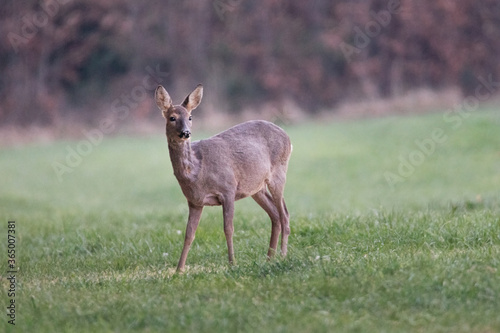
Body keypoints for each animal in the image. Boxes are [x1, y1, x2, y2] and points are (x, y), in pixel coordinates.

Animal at [154, 83, 292, 272]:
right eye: (172, 118)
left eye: (190, 117)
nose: (186, 133)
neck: (197, 172)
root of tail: (288, 137)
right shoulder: (195, 201)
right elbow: (189, 234)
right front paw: (179, 270)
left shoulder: (228, 189)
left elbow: (228, 228)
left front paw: (232, 263)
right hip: (256, 187)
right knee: (275, 215)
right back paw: (269, 258)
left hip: (278, 172)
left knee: (284, 213)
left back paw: (283, 256)